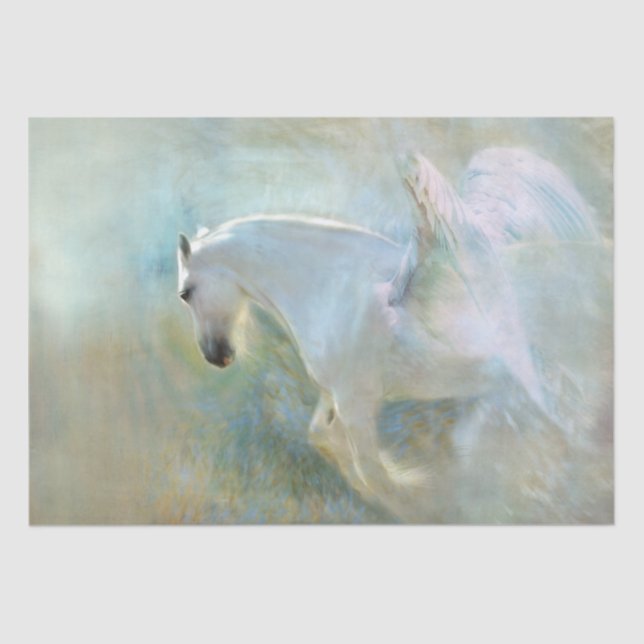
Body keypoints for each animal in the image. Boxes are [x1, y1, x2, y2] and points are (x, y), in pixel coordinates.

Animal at [176, 148, 606, 520]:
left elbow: (372, 471)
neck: (331, 288)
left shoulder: (356, 403)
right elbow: (323, 437)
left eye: (185, 293)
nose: (217, 356)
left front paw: (410, 500)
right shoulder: (337, 395)